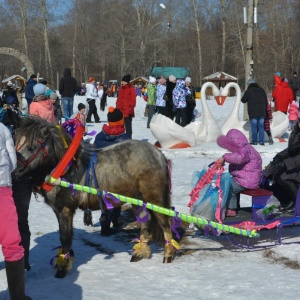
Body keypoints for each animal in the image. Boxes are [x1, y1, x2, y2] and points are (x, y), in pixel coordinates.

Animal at [12, 116, 176, 278]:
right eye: (16, 144)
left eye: (32, 147)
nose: (14, 172)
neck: (65, 169)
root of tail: (158, 154)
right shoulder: (58, 210)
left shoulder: (65, 209)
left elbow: (65, 238)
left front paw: (63, 267)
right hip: (138, 199)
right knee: (145, 221)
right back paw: (139, 253)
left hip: (155, 199)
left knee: (165, 223)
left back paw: (168, 254)